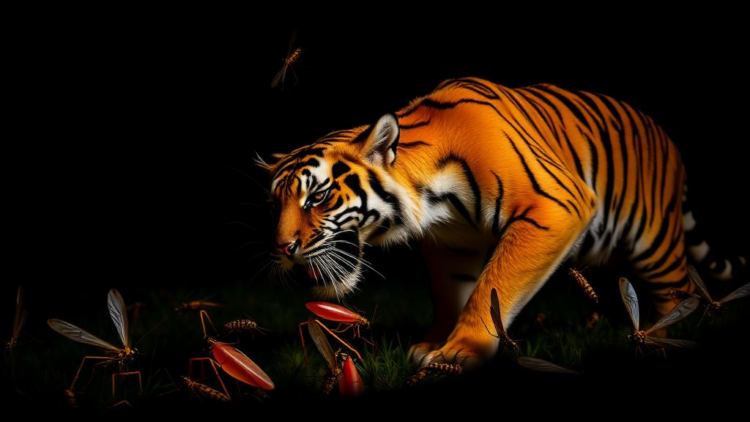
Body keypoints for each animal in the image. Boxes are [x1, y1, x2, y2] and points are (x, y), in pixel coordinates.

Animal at [259, 77, 744, 368]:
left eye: (317, 197)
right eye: (275, 204)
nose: (282, 250)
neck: (434, 197)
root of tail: (668, 139)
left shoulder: (553, 205)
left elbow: (494, 285)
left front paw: (461, 351)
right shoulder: (450, 242)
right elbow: (453, 293)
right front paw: (434, 344)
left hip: (654, 243)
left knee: (680, 291)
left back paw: (664, 344)